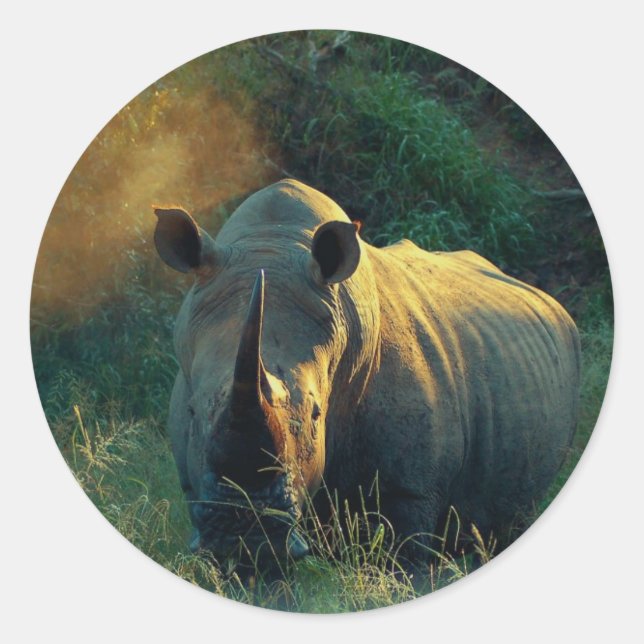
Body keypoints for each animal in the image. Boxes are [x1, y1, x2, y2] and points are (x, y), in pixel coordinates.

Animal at [153, 179, 580, 566]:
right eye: (191, 412)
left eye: (316, 415)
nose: (242, 528)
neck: (274, 240)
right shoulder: (196, 483)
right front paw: (247, 557)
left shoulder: (409, 489)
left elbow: (404, 561)